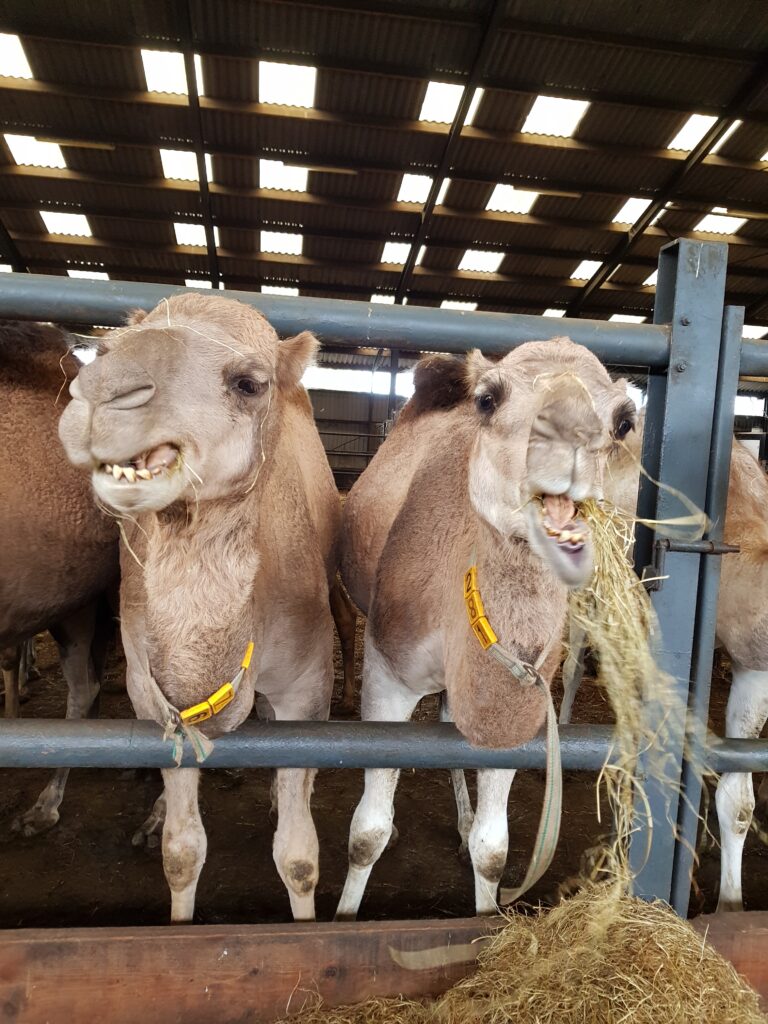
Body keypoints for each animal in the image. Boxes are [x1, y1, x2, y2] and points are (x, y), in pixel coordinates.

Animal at [57, 292, 339, 925]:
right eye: (104, 348)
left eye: (249, 383)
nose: (104, 391)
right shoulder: (149, 689)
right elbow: (182, 853)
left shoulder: (308, 686)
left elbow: (299, 857)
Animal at [335, 339, 638, 917]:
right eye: (488, 398)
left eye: (624, 420)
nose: (570, 432)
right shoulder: (387, 670)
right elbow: (367, 833)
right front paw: (342, 917)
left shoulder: (522, 702)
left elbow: (493, 849)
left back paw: (462, 821)